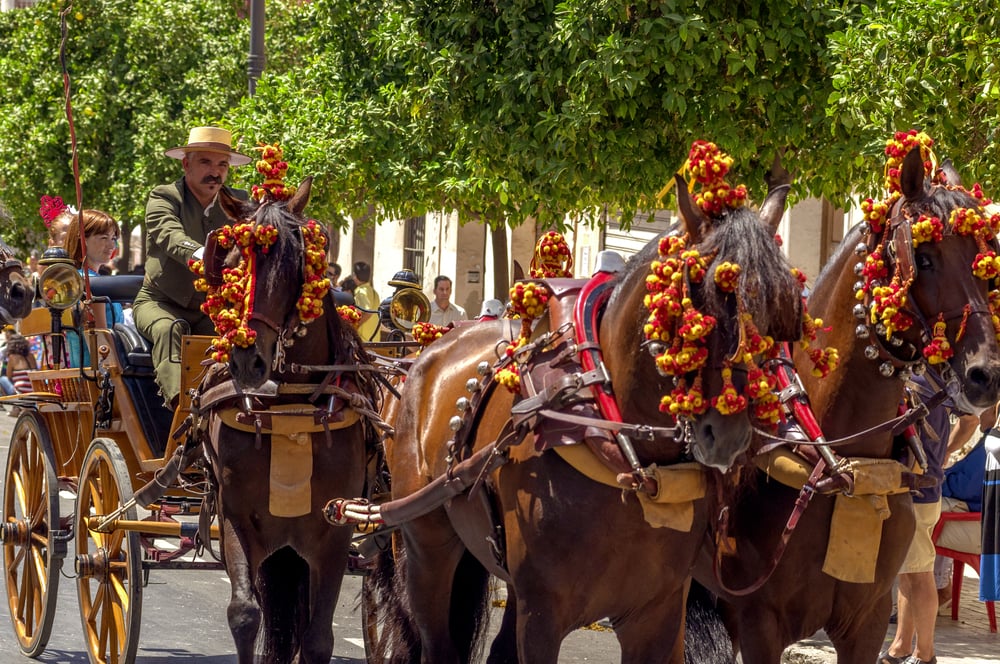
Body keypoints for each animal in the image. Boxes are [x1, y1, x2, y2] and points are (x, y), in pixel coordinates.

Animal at [200, 179, 382, 660]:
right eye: (229, 265)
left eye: (295, 266)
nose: (248, 362)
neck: (290, 408)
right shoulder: (235, 516)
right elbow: (245, 614)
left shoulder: (336, 530)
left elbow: (318, 639)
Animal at [368, 169, 804, 660]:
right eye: (695, 295)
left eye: (776, 308)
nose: (727, 435)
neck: (627, 456)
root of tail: (428, 350)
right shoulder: (543, 613)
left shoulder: (657, 613)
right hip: (425, 547)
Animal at [692, 145, 1000, 660]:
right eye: (924, 258)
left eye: (986, 261)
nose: (986, 375)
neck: (844, 460)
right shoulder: (758, 623)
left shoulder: (867, 619)